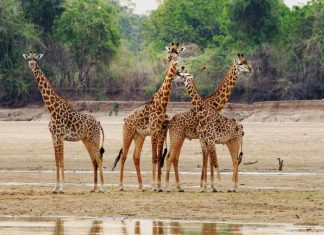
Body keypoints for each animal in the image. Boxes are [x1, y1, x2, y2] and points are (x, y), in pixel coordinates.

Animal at [22, 51, 105, 193]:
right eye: (28, 59)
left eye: (36, 59)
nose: (32, 65)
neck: (52, 110)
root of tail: (98, 123)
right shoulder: (54, 136)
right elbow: (57, 161)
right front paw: (55, 187)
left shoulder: (60, 136)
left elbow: (62, 161)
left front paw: (62, 187)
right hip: (86, 140)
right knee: (94, 160)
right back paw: (93, 188)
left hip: (95, 138)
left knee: (99, 159)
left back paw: (102, 188)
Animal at [111, 43, 184, 192]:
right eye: (169, 54)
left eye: (178, 53)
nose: (175, 63)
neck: (163, 104)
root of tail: (125, 120)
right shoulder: (154, 132)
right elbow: (154, 158)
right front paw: (154, 186)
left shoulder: (162, 132)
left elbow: (159, 157)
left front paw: (159, 185)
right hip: (127, 134)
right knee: (124, 156)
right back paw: (121, 185)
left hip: (139, 136)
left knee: (136, 157)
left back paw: (141, 186)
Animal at [163, 54, 252, 192]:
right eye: (241, 63)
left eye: (245, 62)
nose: (251, 69)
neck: (214, 104)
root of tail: (169, 122)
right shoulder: (204, 138)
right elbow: (209, 160)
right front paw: (208, 185)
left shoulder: (207, 139)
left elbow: (208, 160)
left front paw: (207, 185)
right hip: (177, 137)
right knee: (171, 157)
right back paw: (169, 186)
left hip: (180, 138)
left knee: (174, 158)